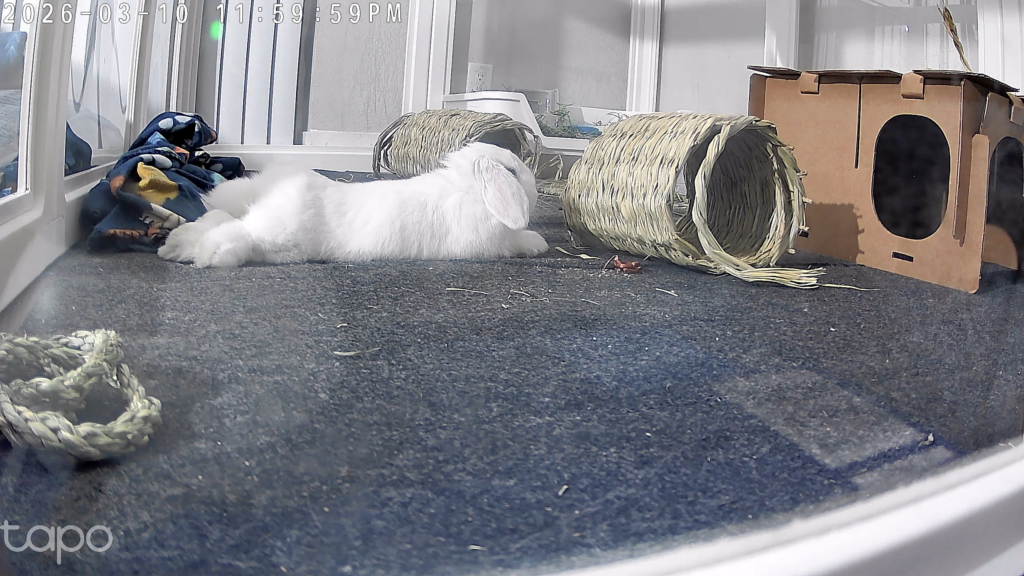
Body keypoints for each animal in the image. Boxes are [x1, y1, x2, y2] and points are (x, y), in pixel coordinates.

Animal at [157, 142, 549, 268]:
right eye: (514, 172)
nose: (532, 188)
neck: (469, 189)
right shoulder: (492, 244)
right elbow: (519, 241)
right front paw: (540, 243)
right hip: (276, 234)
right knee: (235, 233)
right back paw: (205, 254)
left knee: (217, 219)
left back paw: (173, 247)